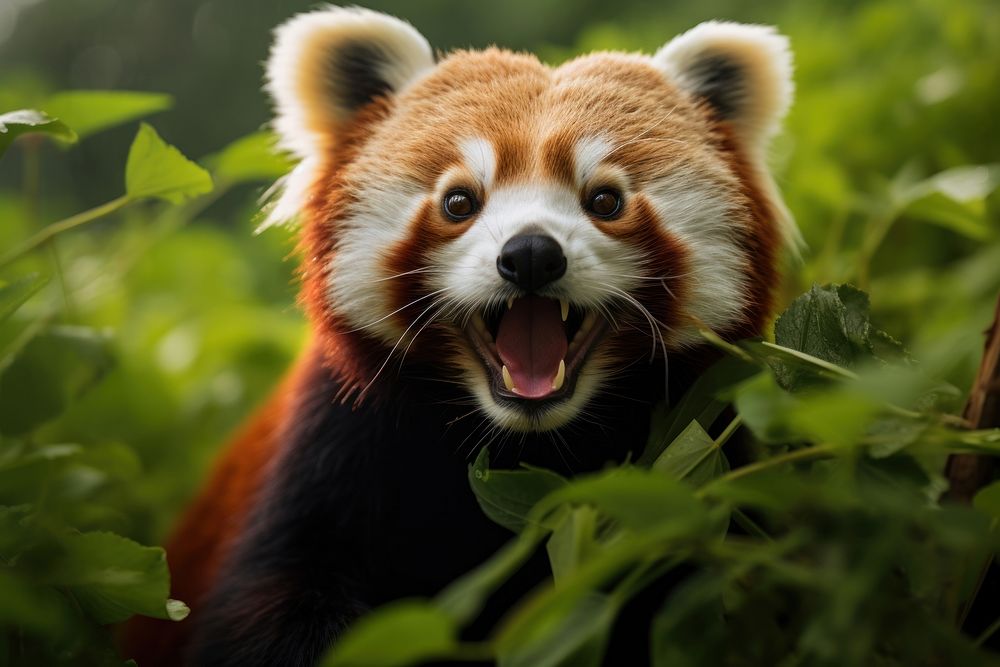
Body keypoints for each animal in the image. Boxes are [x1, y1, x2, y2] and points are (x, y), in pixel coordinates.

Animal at [123, 6, 796, 667]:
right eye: (459, 202)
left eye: (605, 200)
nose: (531, 255)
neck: (525, 446)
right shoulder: (329, 453)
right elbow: (273, 609)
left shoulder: (704, 466)